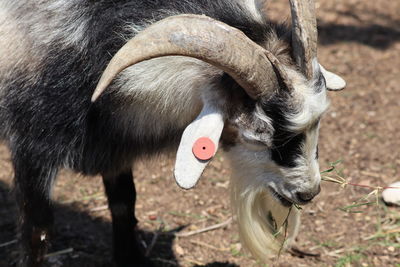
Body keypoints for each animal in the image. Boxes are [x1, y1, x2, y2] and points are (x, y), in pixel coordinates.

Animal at [0, 1, 346, 266]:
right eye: (259, 131)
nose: (308, 192)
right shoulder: (31, 144)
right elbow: (38, 229)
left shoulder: (113, 143)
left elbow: (124, 203)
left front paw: (131, 259)